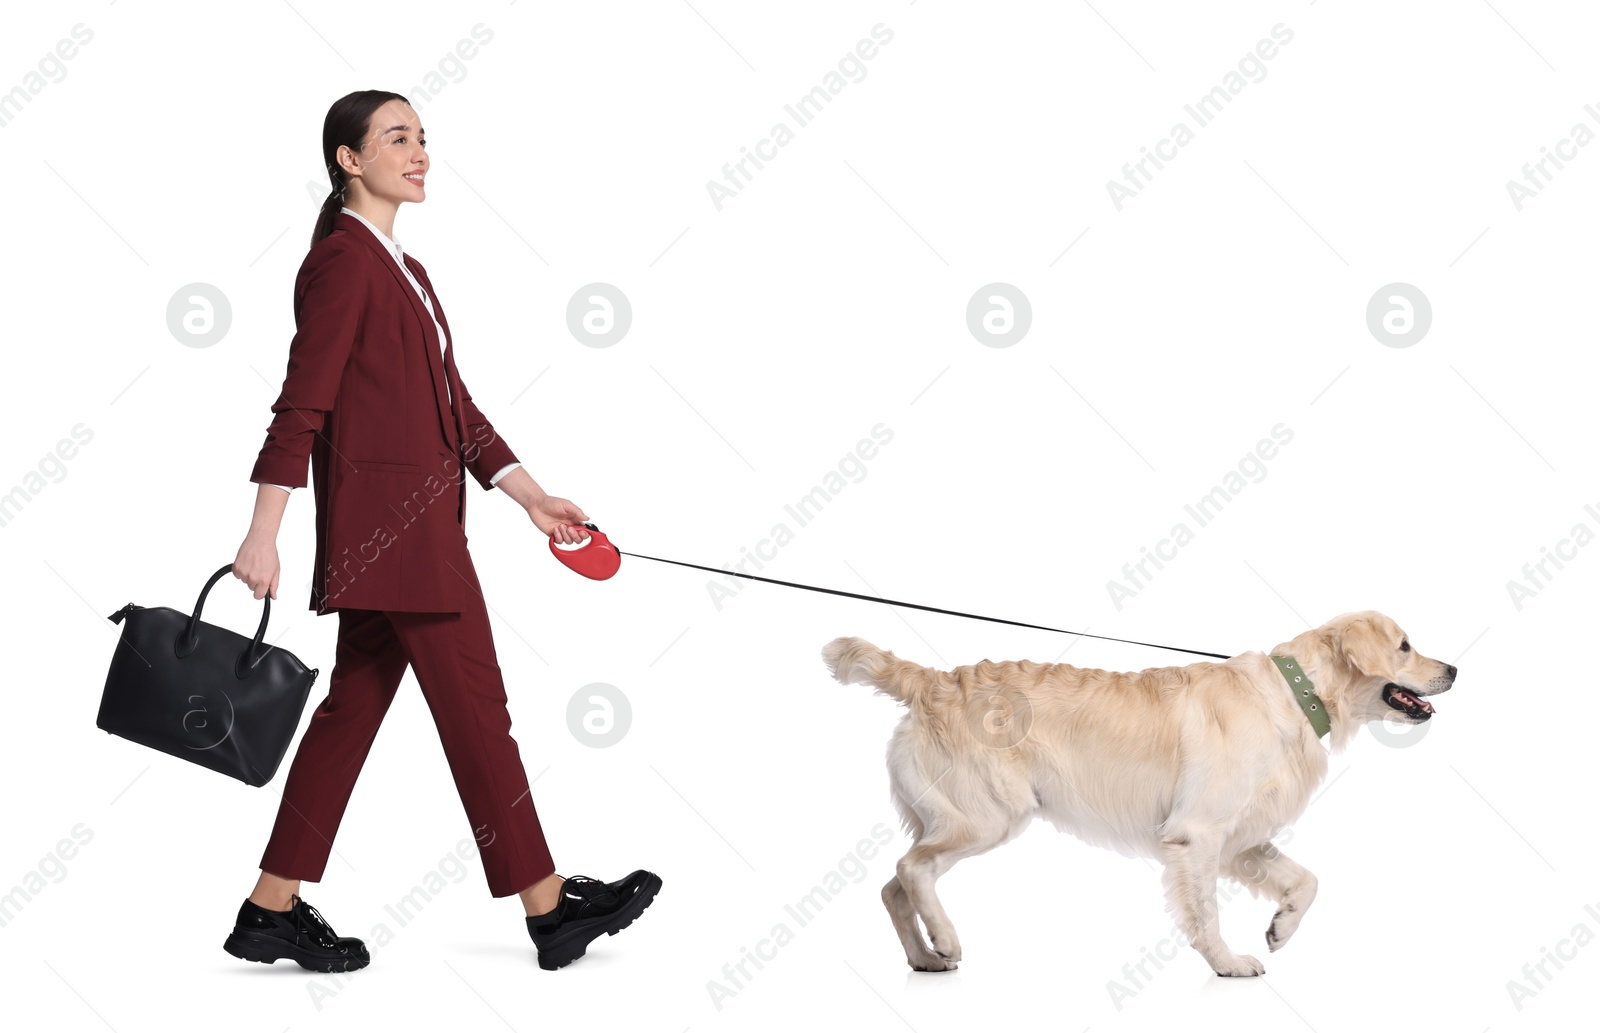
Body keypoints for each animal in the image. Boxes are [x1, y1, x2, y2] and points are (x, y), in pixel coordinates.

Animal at [819, 610, 1459, 985]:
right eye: (1405, 646)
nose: (1453, 669)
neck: (1296, 692)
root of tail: (931, 681)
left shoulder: (1239, 839)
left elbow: (1307, 880)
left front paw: (1280, 927)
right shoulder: (1198, 834)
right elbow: (1206, 912)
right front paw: (1227, 963)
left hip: (955, 817)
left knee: (893, 885)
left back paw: (924, 957)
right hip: (988, 815)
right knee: (911, 869)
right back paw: (946, 940)